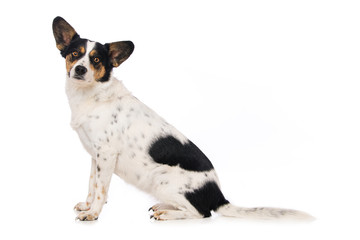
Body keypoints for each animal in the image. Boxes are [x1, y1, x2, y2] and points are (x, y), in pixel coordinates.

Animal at [51, 15, 312, 221]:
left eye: (96, 60)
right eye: (74, 54)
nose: (80, 70)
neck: (92, 97)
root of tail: (219, 197)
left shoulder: (105, 155)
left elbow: (101, 190)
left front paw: (92, 213)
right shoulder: (95, 157)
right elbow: (92, 185)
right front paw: (87, 205)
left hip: (161, 180)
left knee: (201, 213)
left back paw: (167, 214)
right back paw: (162, 207)